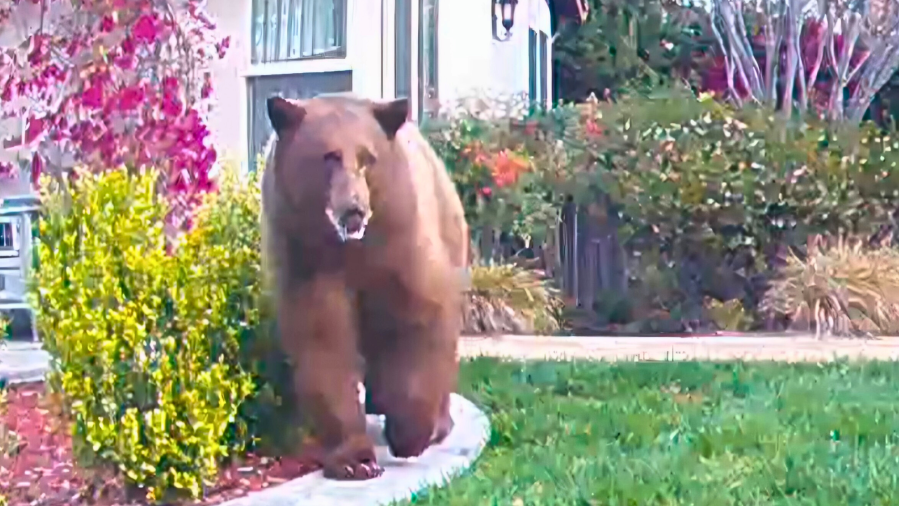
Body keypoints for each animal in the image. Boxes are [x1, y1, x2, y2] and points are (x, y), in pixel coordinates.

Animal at [260, 93, 469, 481]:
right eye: (329, 156)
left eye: (368, 158)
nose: (353, 208)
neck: (352, 249)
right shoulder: (308, 260)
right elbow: (323, 341)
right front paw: (355, 460)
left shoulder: (402, 242)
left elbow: (421, 316)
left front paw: (410, 433)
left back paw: (436, 422)